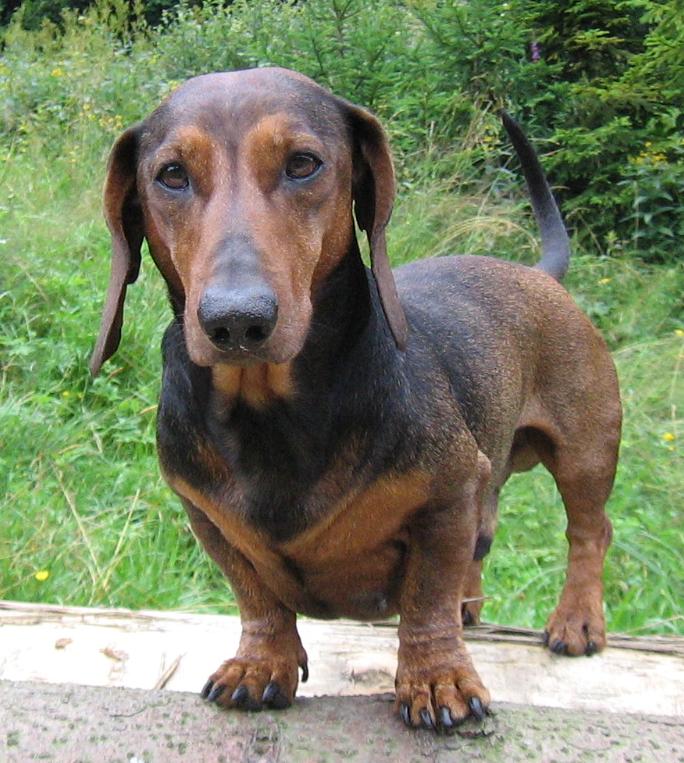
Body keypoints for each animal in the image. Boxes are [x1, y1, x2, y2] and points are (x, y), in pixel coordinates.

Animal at [90, 67, 621, 731]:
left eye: (303, 164)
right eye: (171, 175)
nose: (235, 321)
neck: (269, 414)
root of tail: (538, 273)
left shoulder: (448, 495)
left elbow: (426, 597)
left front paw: (437, 677)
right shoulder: (205, 516)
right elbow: (256, 595)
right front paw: (260, 662)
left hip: (586, 453)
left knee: (589, 533)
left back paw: (576, 619)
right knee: (487, 535)